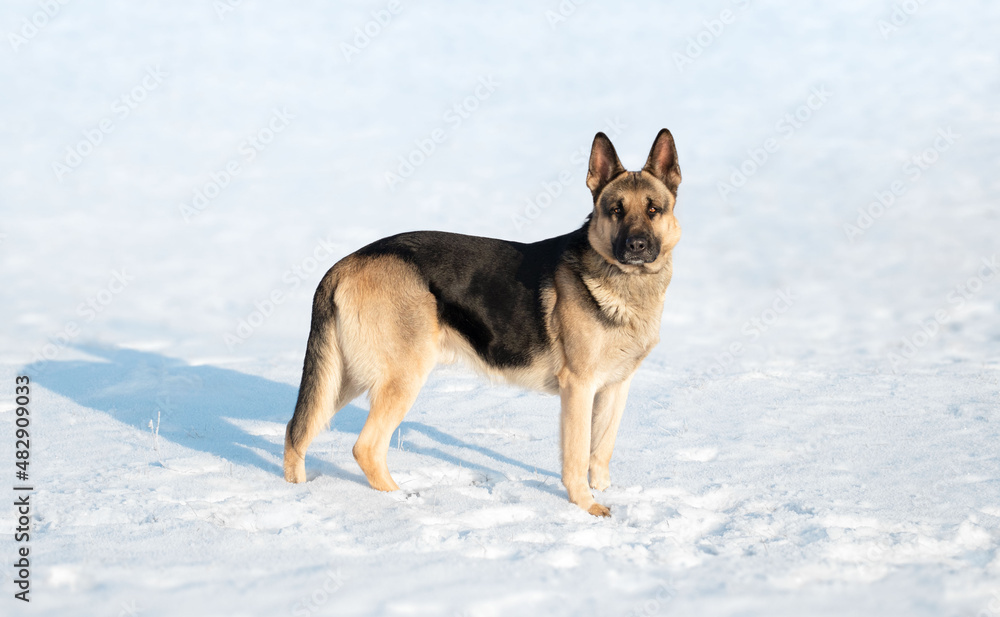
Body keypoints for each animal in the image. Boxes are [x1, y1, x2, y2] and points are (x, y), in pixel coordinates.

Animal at [286, 130, 684, 516]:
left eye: (653, 209)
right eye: (616, 210)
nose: (636, 246)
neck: (625, 285)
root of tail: (345, 263)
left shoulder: (615, 387)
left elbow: (600, 451)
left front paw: (604, 494)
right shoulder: (579, 387)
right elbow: (576, 457)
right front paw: (586, 508)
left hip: (346, 377)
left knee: (297, 430)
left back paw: (297, 490)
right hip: (401, 377)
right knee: (365, 447)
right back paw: (397, 500)